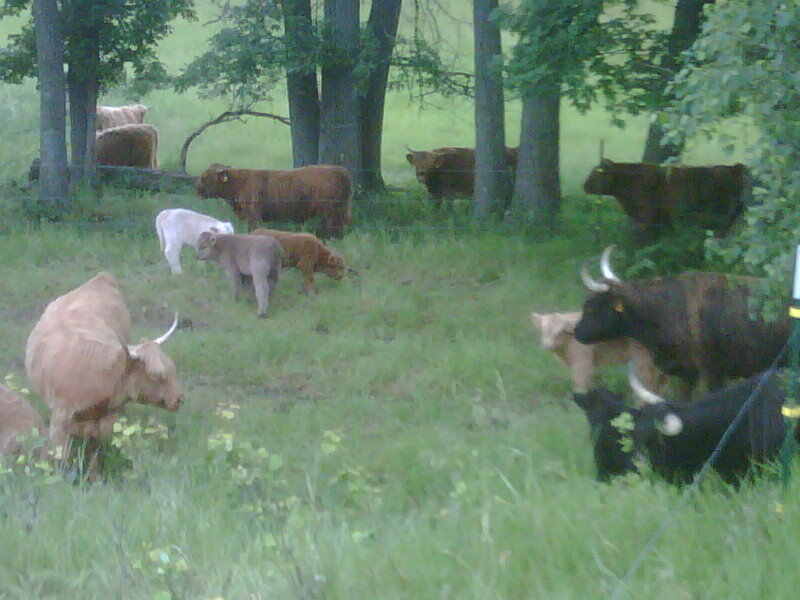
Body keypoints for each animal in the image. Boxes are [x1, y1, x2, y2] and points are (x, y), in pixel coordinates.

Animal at [196, 163, 352, 238]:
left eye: (206, 177)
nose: (197, 190)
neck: (240, 183)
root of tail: (341, 170)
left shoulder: (254, 215)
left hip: (330, 212)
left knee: (332, 230)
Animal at [531, 311, 668, 396]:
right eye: (543, 330)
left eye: (560, 331)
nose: (547, 345)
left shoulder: (582, 361)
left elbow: (579, 383)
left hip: (642, 361)